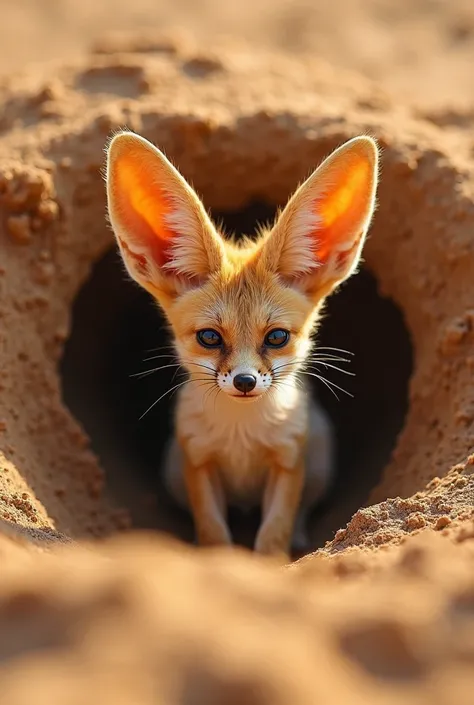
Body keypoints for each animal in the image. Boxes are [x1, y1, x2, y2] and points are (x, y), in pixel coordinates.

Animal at [105, 131, 380, 556]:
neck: (242, 439)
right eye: (210, 337)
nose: (245, 382)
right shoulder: (198, 461)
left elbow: (274, 532)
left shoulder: (288, 460)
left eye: (277, 337)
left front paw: (270, 561)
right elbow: (213, 531)